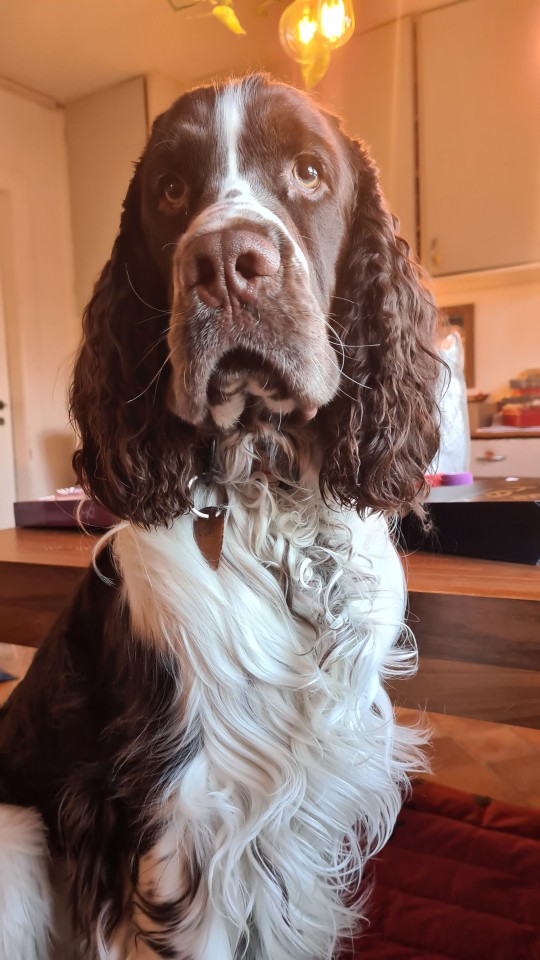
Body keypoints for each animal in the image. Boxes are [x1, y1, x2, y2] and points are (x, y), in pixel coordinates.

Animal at [0, 71, 440, 956]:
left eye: (309, 171)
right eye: (171, 190)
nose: (226, 265)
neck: (275, 510)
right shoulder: (187, 817)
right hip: (17, 838)